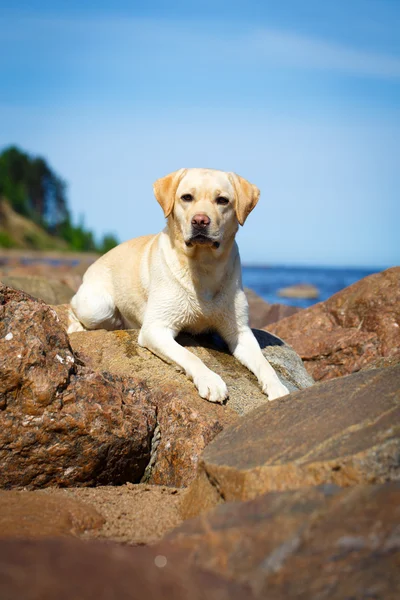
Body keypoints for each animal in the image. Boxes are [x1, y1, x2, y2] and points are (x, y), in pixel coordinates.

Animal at [68, 169, 288, 404]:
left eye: (222, 200)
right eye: (186, 197)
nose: (200, 221)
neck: (203, 266)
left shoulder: (239, 331)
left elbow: (264, 363)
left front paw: (277, 387)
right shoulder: (156, 328)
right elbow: (189, 355)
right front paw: (210, 380)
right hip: (98, 307)